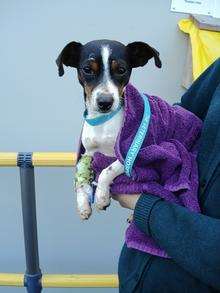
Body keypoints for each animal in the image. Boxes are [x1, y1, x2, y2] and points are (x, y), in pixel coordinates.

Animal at [55, 40, 162, 219]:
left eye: (121, 70)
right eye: (87, 69)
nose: (105, 102)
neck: (103, 122)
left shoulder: (133, 155)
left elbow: (107, 170)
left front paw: (101, 197)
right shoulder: (88, 153)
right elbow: (80, 178)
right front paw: (83, 204)